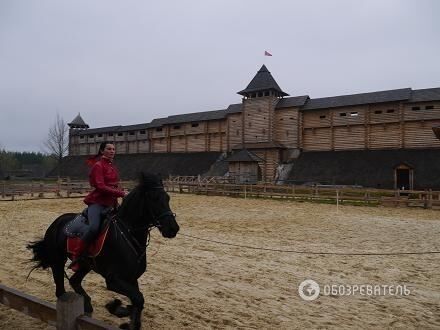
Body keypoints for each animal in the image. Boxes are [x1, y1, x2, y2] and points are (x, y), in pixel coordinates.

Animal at [27, 173, 179, 330]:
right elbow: (138, 299)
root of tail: (56, 223)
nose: (173, 229)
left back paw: (88, 306)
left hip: (86, 265)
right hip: (58, 261)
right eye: (154, 198)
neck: (127, 233)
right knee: (60, 290)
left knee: (75, 281)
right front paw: (115, 307)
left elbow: (137, 301)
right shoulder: (113, 280)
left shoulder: (131, 278)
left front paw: (124, 315)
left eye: (167, 198)